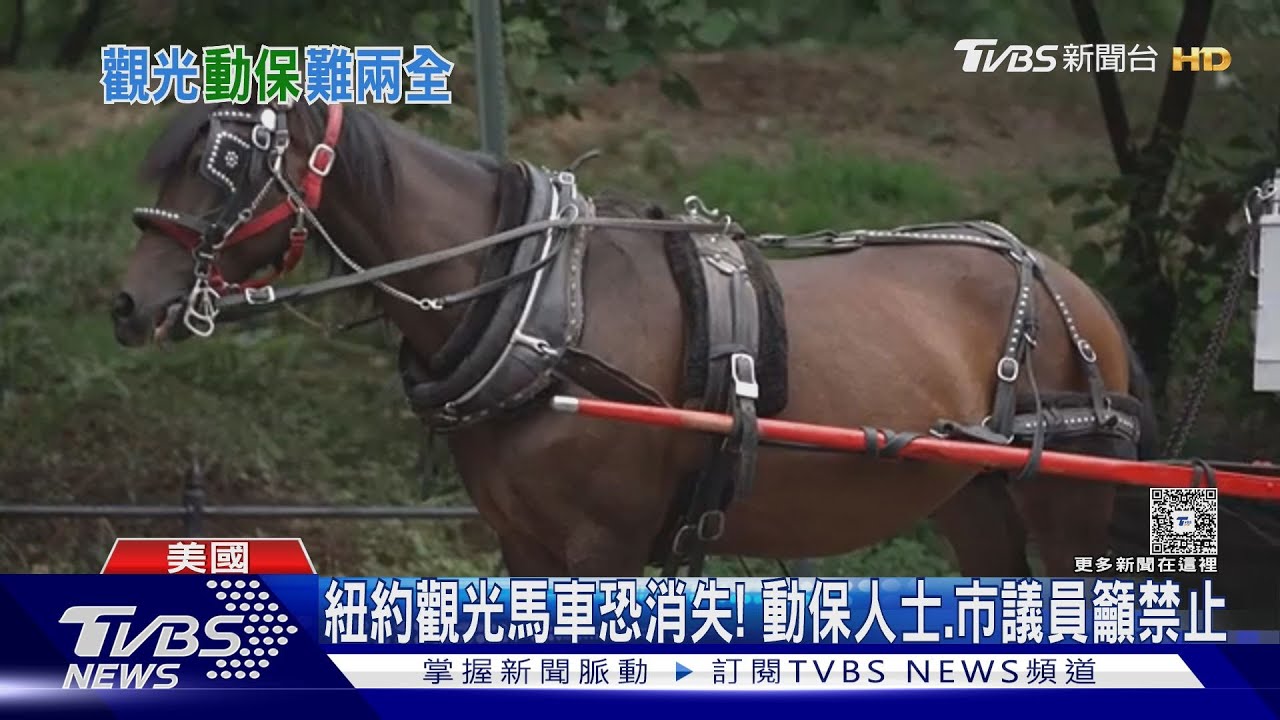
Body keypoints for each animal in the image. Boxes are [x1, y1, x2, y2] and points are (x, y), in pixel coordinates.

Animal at [109, 99, 1155, 578]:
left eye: (225, 165)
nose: (126, 304)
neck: (542, 307)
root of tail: (1069, 285)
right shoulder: (523, 544)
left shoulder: (597, 545)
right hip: (975, 499)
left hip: (1068, 497)